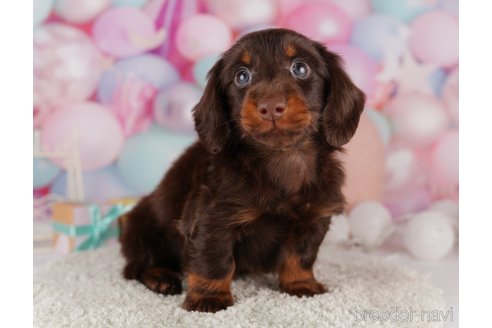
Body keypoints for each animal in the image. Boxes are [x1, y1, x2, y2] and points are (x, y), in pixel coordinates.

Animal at [119, 28, 366, 312]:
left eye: (300, 68)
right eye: (242, 76)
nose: (270, 107)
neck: (282, 158)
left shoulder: (314, 216)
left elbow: (301, 254)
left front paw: (300, 284)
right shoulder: (212, 218)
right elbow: (213, 259)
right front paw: (209, 297)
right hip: (141, 227)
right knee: (136, 266)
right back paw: (160, 277)